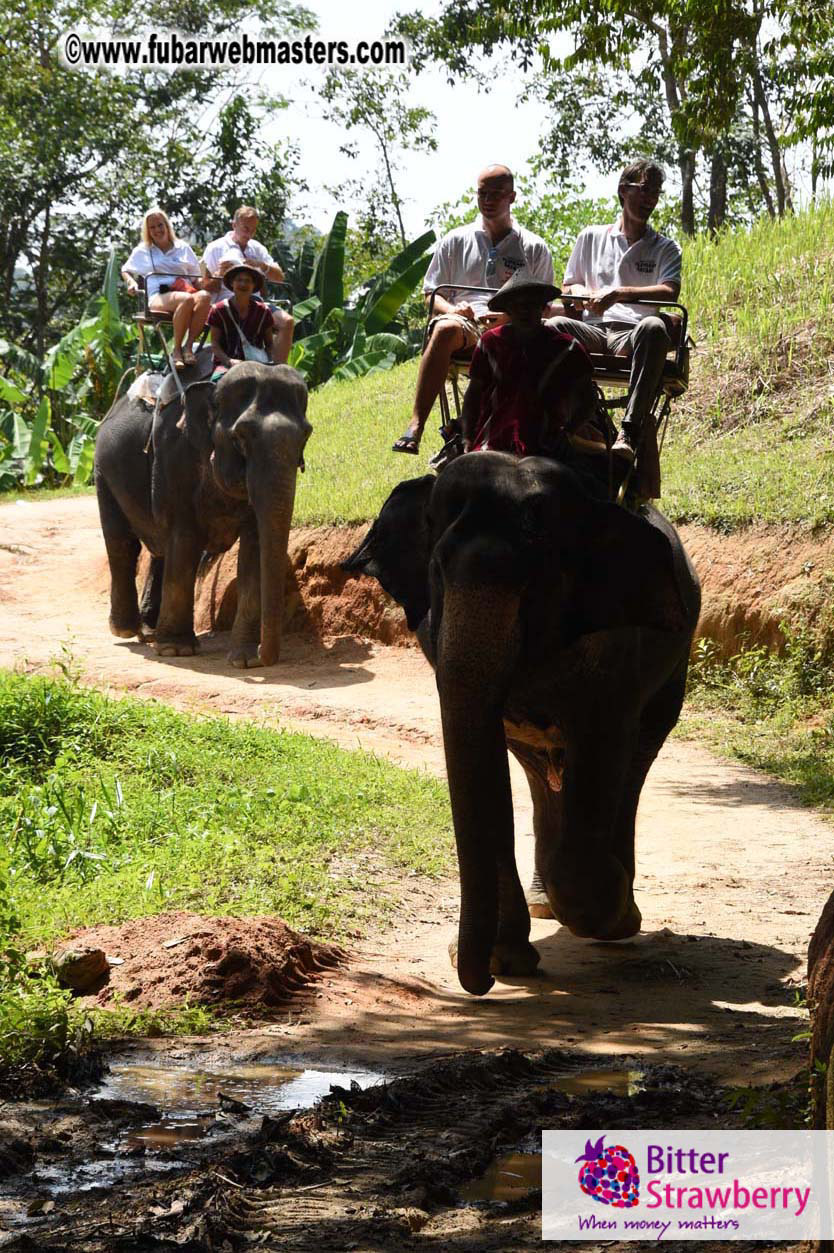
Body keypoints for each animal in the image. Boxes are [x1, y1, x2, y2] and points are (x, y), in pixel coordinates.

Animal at [94, 362, 311, 667]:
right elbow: (185, 538)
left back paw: (149, 632)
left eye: (306, 435)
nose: (263, 655)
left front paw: (244, 659)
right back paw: (126, 630)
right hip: (103, 472)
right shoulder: (175, 458)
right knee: (123, 543)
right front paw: (176, 650)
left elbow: (255, 545)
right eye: (240, 437)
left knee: (159, 550)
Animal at [343, 452, 700, 996]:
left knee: (636, 758)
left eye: (534, 582)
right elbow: (483, 752)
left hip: (674, 660)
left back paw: (619, 911)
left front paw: (610, 917)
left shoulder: (615, 648)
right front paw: (506, 961)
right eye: (437, 574)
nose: (481, 983)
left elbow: (603, 743)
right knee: (536, 769)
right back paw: (544, 902)